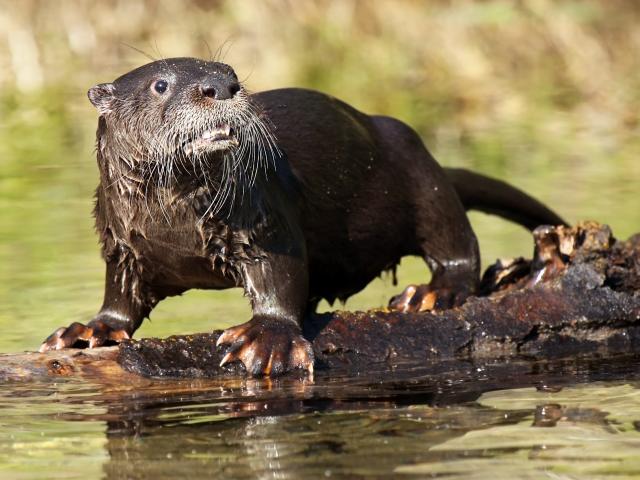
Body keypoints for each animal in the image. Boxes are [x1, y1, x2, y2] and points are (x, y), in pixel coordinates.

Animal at [38, 58, 564, 376]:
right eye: (160, 85)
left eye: (229, 71)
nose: (221, 86)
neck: (174, 228)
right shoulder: (121, 242)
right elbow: (120, 294)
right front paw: (89, 330)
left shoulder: (264, 217)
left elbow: (282, 273)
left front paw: (267, 338)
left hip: (417, 167)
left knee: (455, 241)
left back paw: (433, 293)